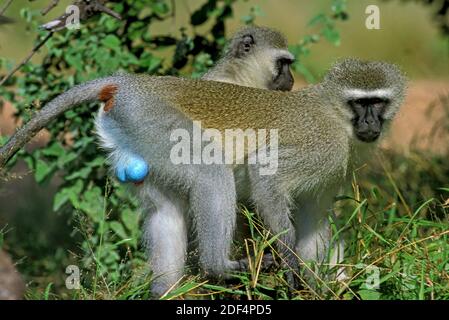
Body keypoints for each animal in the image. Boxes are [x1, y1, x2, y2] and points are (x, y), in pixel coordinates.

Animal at [0, 58, 406, 296]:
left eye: (378, 102)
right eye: (360, 103)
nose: (370, 123)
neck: (336, 115)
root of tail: (133, 85)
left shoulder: (333, 168)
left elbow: (315, 219)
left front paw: (327, 285)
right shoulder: (322, 145)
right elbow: (265, 174)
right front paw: (289, 259)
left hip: (136, 133)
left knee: (165, 210)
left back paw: (168, 290)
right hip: (151, 118)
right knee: (211, 173)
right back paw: (218, 267)